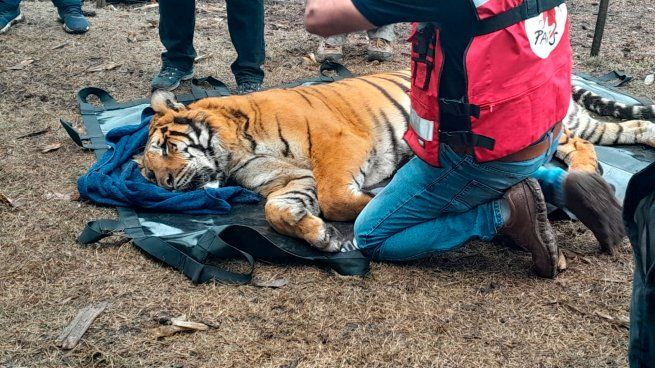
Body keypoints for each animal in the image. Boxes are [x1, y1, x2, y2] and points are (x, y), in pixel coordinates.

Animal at [138, 69, 655, 253]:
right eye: (147, 173)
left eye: (164, 149)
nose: (167, 185)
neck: (233, 154)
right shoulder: (287, 182)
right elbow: (277, 211)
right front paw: (321, 237)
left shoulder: (337, 143)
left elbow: (339, 197)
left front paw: (374, 198)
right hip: (589, 123)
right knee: (630, 130)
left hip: (552, 127)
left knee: (582, 148)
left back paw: (586, 179)